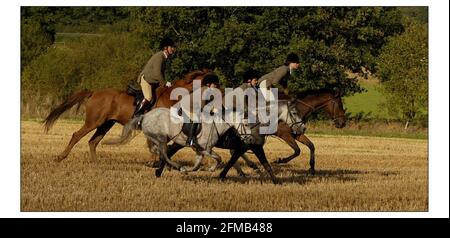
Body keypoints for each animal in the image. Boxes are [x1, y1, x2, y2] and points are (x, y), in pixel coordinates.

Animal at [42, 69, 211, 162]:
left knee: (93, 142)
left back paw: (96, 163)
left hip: (106, 124)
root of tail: (94, 93)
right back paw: (60, 157)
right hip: (94, 122)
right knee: (77, 135)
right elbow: (157, 145)